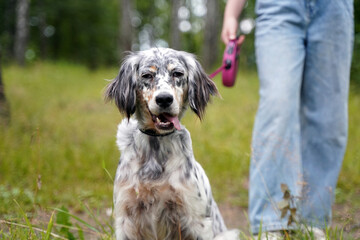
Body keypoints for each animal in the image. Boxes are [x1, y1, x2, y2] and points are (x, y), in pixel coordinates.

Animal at [104, 47, 239, 239]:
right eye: (147, 75)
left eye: (177, 73)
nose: (164, 99)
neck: (156, 144)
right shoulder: (126, 218)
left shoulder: (195, 219)